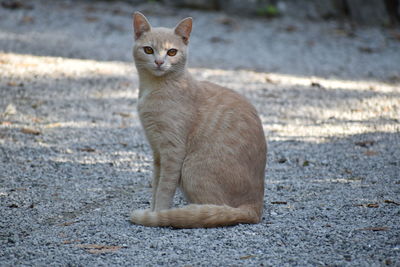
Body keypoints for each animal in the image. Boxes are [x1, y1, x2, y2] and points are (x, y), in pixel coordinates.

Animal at [130, 11, 268, 228]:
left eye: (171, 52)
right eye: (149, 50)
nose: (159, 62)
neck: (154, 88)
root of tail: (256, 207)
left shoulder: (173, 151)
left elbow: (164, 189)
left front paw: (158, 215)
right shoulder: (157, 151)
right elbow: (156, 186)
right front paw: (153, 211)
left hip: (190, 169)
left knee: (215, 210)